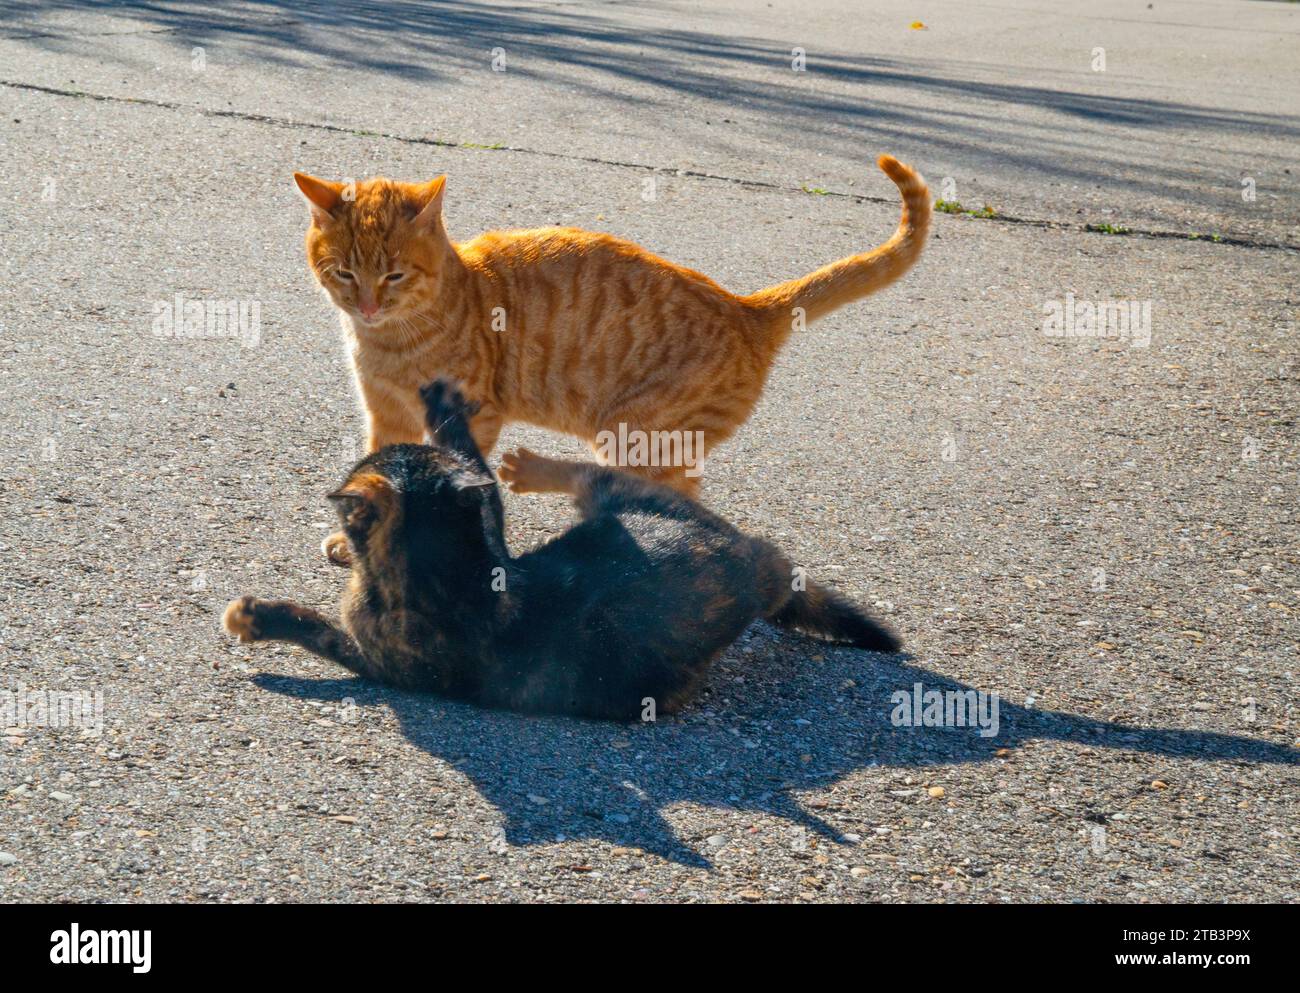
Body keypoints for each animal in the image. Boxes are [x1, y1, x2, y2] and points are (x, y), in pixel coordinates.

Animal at [223, 376, 899, 717]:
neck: (454, 567)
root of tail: (751, 553)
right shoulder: (488, 521)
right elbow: (476, 467)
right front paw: (444, 403)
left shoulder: (385, 663)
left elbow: (318, 631)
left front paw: (257, 618)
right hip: (616, 494)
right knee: (580, 470)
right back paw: (530, 467)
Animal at [295, 153, 925, 558]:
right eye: (345, 273)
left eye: (394, 275)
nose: (368, 305)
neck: (391, 340)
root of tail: (744, 307)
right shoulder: (385, 412)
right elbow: (381, 468)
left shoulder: (473, 413)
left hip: (634, 431)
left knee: (648, 495)